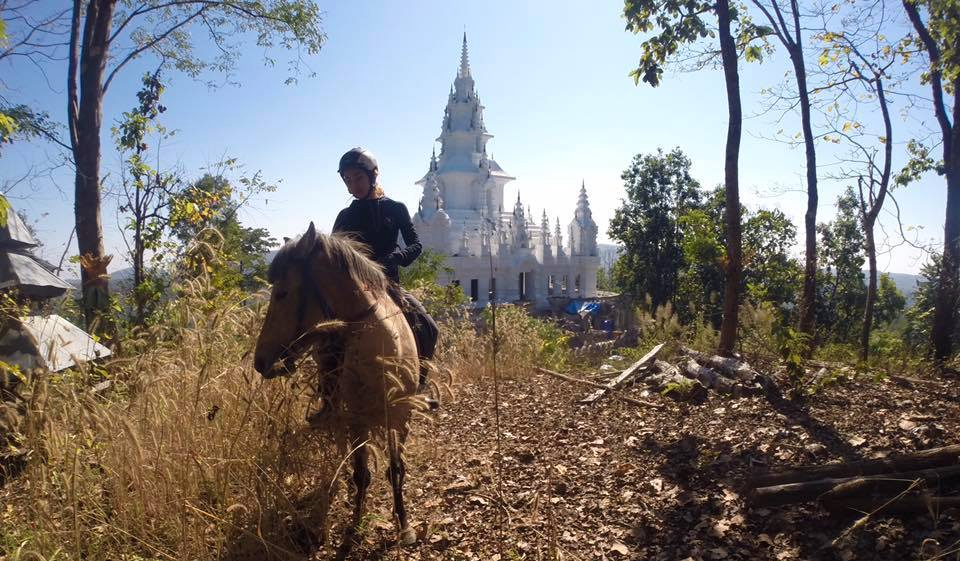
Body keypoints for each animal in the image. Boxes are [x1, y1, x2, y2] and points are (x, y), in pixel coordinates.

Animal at [253, 222, 424, 547]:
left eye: (282, 293)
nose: (261, 361)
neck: (382, 350)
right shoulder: (356, 419)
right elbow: (361, 473)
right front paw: (355, 524)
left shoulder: (399, 416)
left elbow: (396, 469)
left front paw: (404, 525)